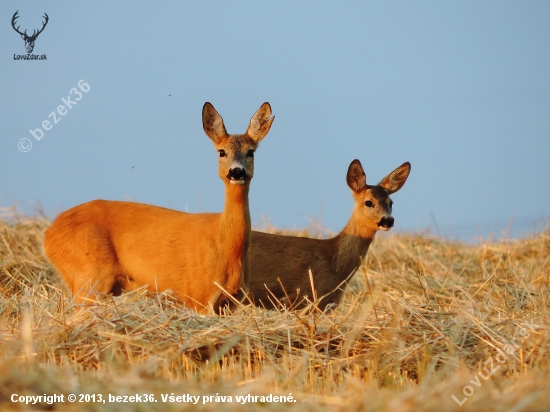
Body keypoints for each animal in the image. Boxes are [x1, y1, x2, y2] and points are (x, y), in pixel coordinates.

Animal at [44, 102, 276, 312]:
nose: (236, 172)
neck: (226, 246)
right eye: (221, 152)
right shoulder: (199, 296)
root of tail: (49, 235)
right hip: (89, 276)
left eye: (250, 152)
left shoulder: (231, 301)